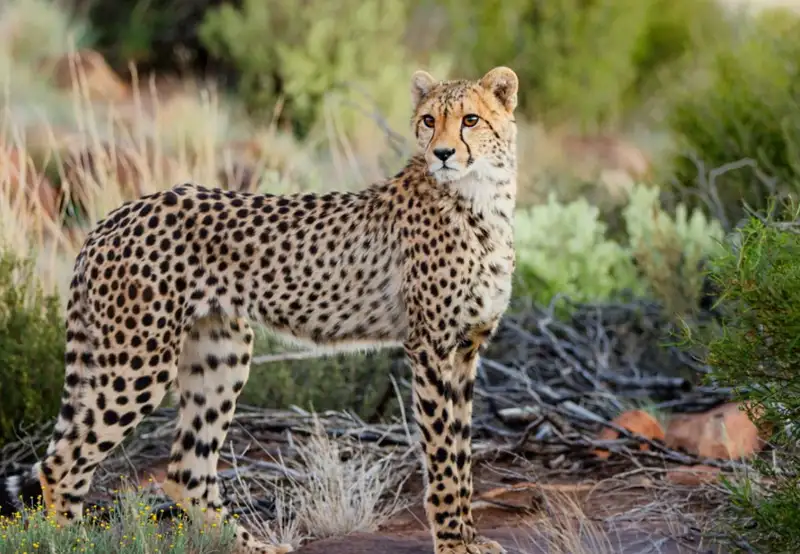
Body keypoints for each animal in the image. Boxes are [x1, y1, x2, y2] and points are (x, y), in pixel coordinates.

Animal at [0, 65, 519, 554]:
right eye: (429, 120)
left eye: (470, 120)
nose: (443, 153)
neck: (481, 196)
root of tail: (114, 216)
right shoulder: (431, 348)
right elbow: (443, 454)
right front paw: (452, 542)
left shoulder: (466, 350)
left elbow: (462, 451)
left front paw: (470, 538)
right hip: (137, 361)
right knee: (61, 463)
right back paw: (71, 541)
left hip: (220, 352)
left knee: (186, 470)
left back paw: (254, 546)